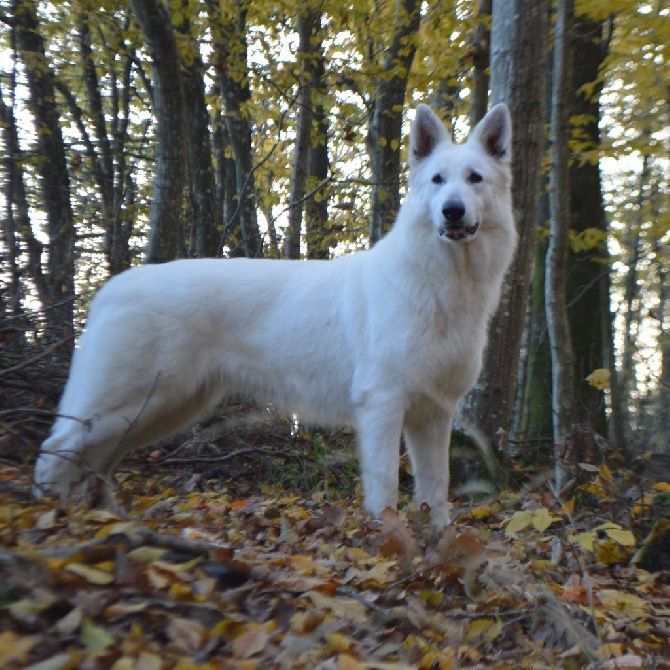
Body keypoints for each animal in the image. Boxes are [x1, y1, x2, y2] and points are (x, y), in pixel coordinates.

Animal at [34, 103, 520, 524]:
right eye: (437, 180)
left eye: (474, 179)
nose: (452, 211)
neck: (442, 284)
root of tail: (110, 287)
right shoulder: (382, 406)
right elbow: (385, 492)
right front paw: (391, 541)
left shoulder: (434, 415)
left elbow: (436, 490)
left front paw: (441, 545)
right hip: (132, 402)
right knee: (55, 448)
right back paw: (53, 515)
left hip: (163, 408)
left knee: (97, 459)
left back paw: (100, 515)